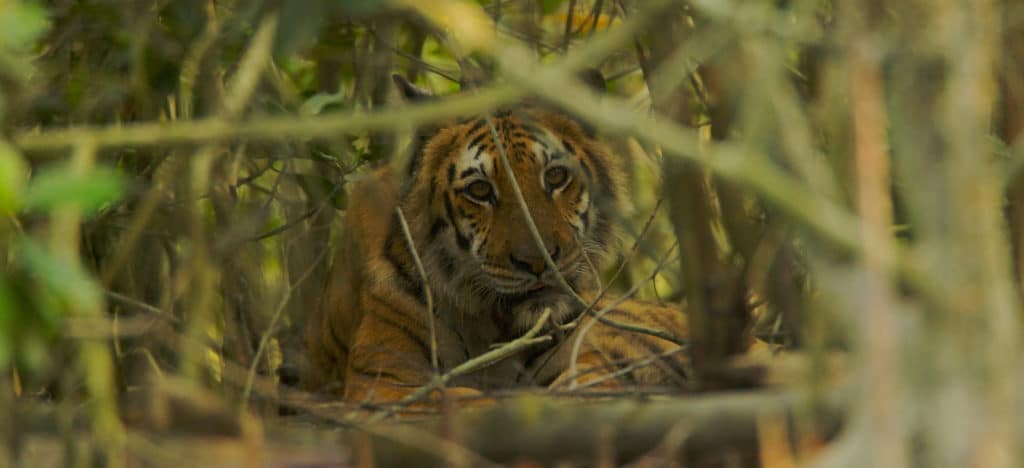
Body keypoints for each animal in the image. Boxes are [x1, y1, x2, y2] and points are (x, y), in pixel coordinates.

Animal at [299, 73, 692, 405]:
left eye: (555, 176)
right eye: (479, 190)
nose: (538, 261)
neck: (492, 325)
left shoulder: (589, 364)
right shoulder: (388, 382)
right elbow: (470, 400)